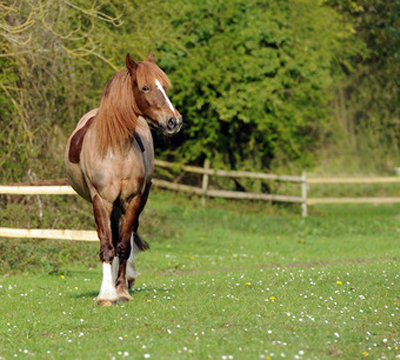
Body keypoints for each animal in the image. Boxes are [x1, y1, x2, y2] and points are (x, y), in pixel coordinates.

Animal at [64, 53, 183, 306]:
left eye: (164, 86)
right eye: (145, 87)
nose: (173, 121)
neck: (115, 151)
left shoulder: (134, 200)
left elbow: (123, 246)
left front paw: (121, 289)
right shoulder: (101, 201)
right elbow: (107, 245)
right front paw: (106, 294)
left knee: (125, 237)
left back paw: (127, 277)